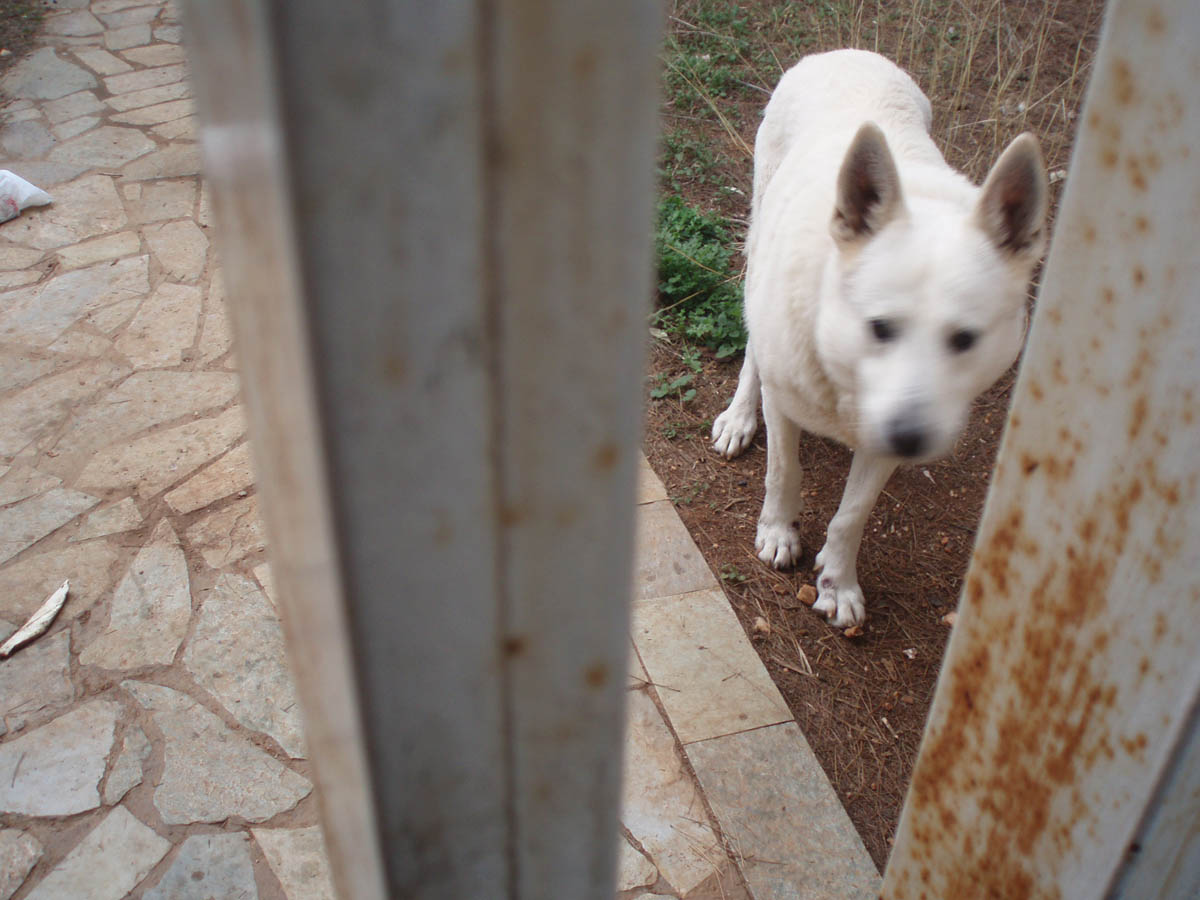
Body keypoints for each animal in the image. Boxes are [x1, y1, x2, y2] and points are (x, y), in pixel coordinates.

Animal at [710, 49, 1051, 628]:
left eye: (965, 339)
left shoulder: (884, 439)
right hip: (759, 237)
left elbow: (852, 514)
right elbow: (783, 471)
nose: (910, 437)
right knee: (754, 345)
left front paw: (838, 581)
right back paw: (738, 417)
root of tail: (845, 52)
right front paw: (778, 531)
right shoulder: (787, 403)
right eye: (880, 328)